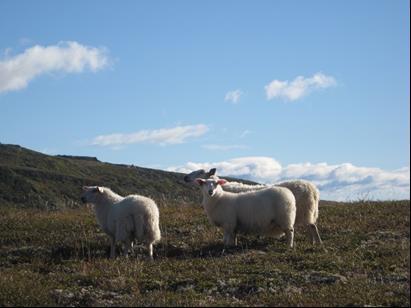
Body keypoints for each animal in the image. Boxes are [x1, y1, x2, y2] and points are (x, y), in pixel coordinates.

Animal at [185, 167, 324, 244]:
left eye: (201, 172)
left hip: (302, 212)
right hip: (307, 213)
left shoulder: (230, 219)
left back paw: (317, 243)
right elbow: (234, 235)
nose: (185, 177)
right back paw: (312, 242)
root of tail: (313, 189)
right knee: (310, 227)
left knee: (312, 227)